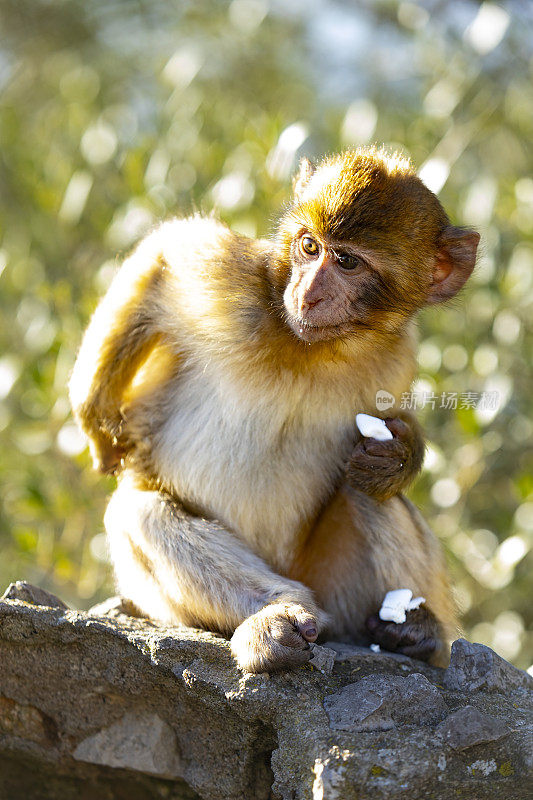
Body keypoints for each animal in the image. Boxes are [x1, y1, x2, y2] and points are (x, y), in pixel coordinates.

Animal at [68, 147, 480, 672]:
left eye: (347, 261)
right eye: (309, 247)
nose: (308, 293)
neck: (312, 349)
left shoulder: (398, 354)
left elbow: (385, 440)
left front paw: (397, 456)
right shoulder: (233, 281)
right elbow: (163, 255)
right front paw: (96, 417)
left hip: (337, 589)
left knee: (371, 496)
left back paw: (418, 633)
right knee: (141, 512)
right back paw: (278, 615)